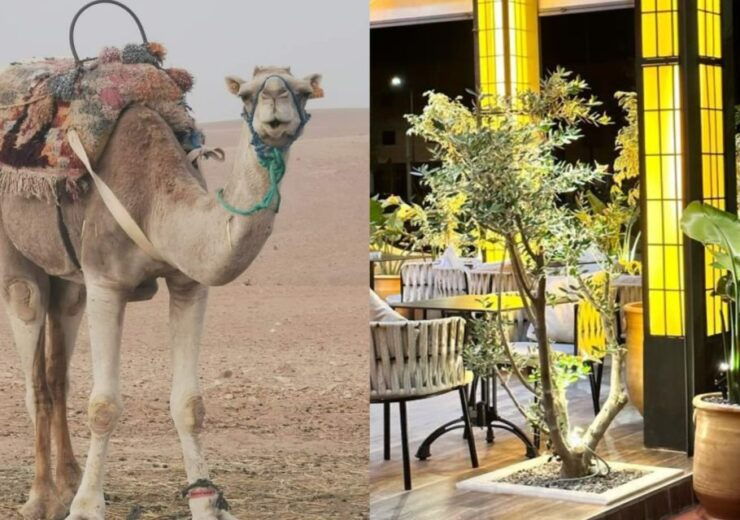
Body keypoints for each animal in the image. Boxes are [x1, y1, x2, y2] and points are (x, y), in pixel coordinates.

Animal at [1, 66, 322, 520]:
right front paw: (86, 506)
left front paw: (207, 503)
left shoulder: (189, 285)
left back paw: (66, 483)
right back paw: (41, 497)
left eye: (304, 92)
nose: (275, 101)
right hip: (17, 257)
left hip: (68, 280)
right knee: (33, 366)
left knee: (57, 372)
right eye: (245, 95)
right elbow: (103, 406)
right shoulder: (105, 281)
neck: (155, 203)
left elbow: (190, 406)